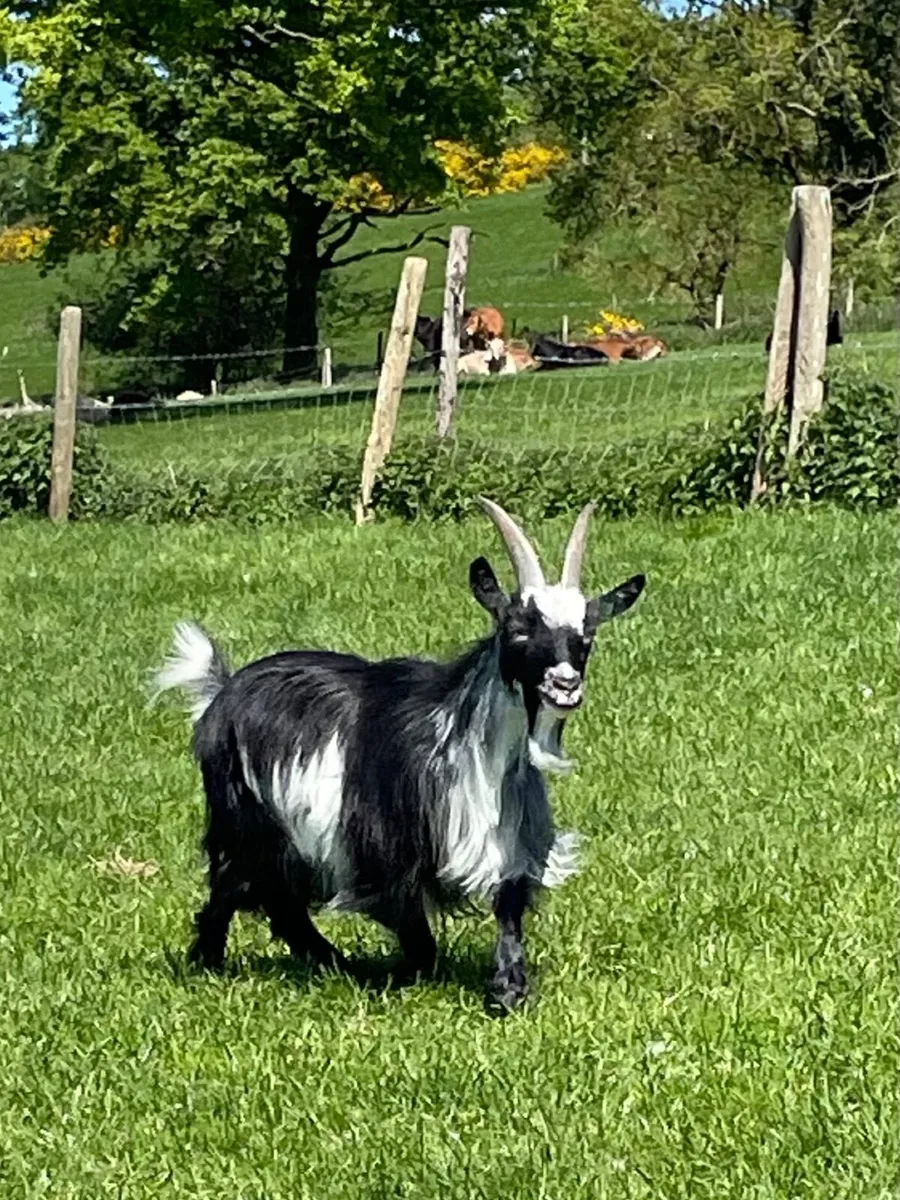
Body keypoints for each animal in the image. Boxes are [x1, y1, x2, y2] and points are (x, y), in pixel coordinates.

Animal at [154, 500, 645, 1012]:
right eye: (517, 629)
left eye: (586, 635)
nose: (566, 685)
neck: (460, 742)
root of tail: (222, 689)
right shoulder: (383, 853)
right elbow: (418, 938)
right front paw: (400, 977)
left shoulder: (511, 845)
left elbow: (507, 909)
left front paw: (508, 991)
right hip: (245, 820)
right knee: (235, 886)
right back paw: (212, 964)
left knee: (279, 901)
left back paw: (331, 963)